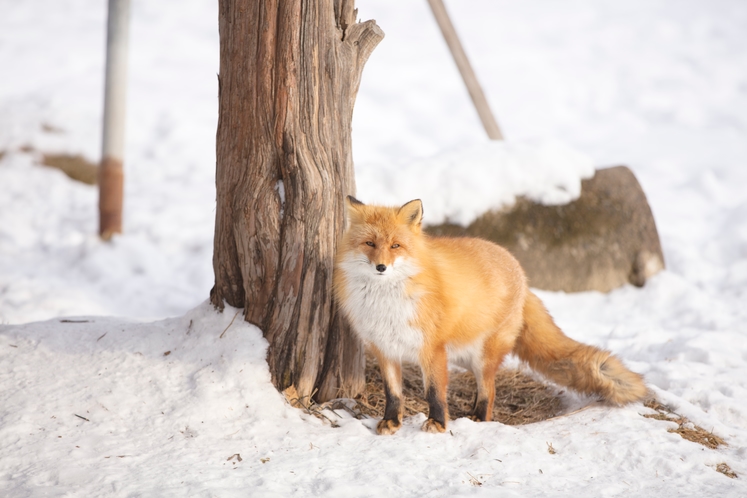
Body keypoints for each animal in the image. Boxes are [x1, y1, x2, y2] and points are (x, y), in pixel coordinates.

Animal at [334, 196, 648, 434]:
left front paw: (438, 423)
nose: (381, 267)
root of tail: (521, 273)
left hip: (482, 355)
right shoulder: (385, 349)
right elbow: (393, 393)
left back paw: (479, 419)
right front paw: (391, 421)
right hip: (464, 355)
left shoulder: (432, 349)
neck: (386, 303)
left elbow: (435, 392)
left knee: (490, 390)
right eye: (370, 244)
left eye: (395, 246)